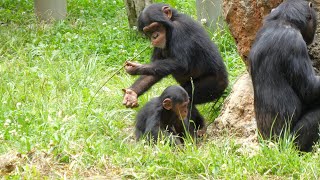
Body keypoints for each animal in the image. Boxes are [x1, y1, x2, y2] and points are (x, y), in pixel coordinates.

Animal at [121, 3, 229, 135]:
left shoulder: (180, 29)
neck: (170, 27)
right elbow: (152, 74)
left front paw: (137, 67)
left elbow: (181, 63)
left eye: (156, 26)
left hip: (213, 85)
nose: (154, 36)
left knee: (189, 98)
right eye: (148, 31)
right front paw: (131, 94)